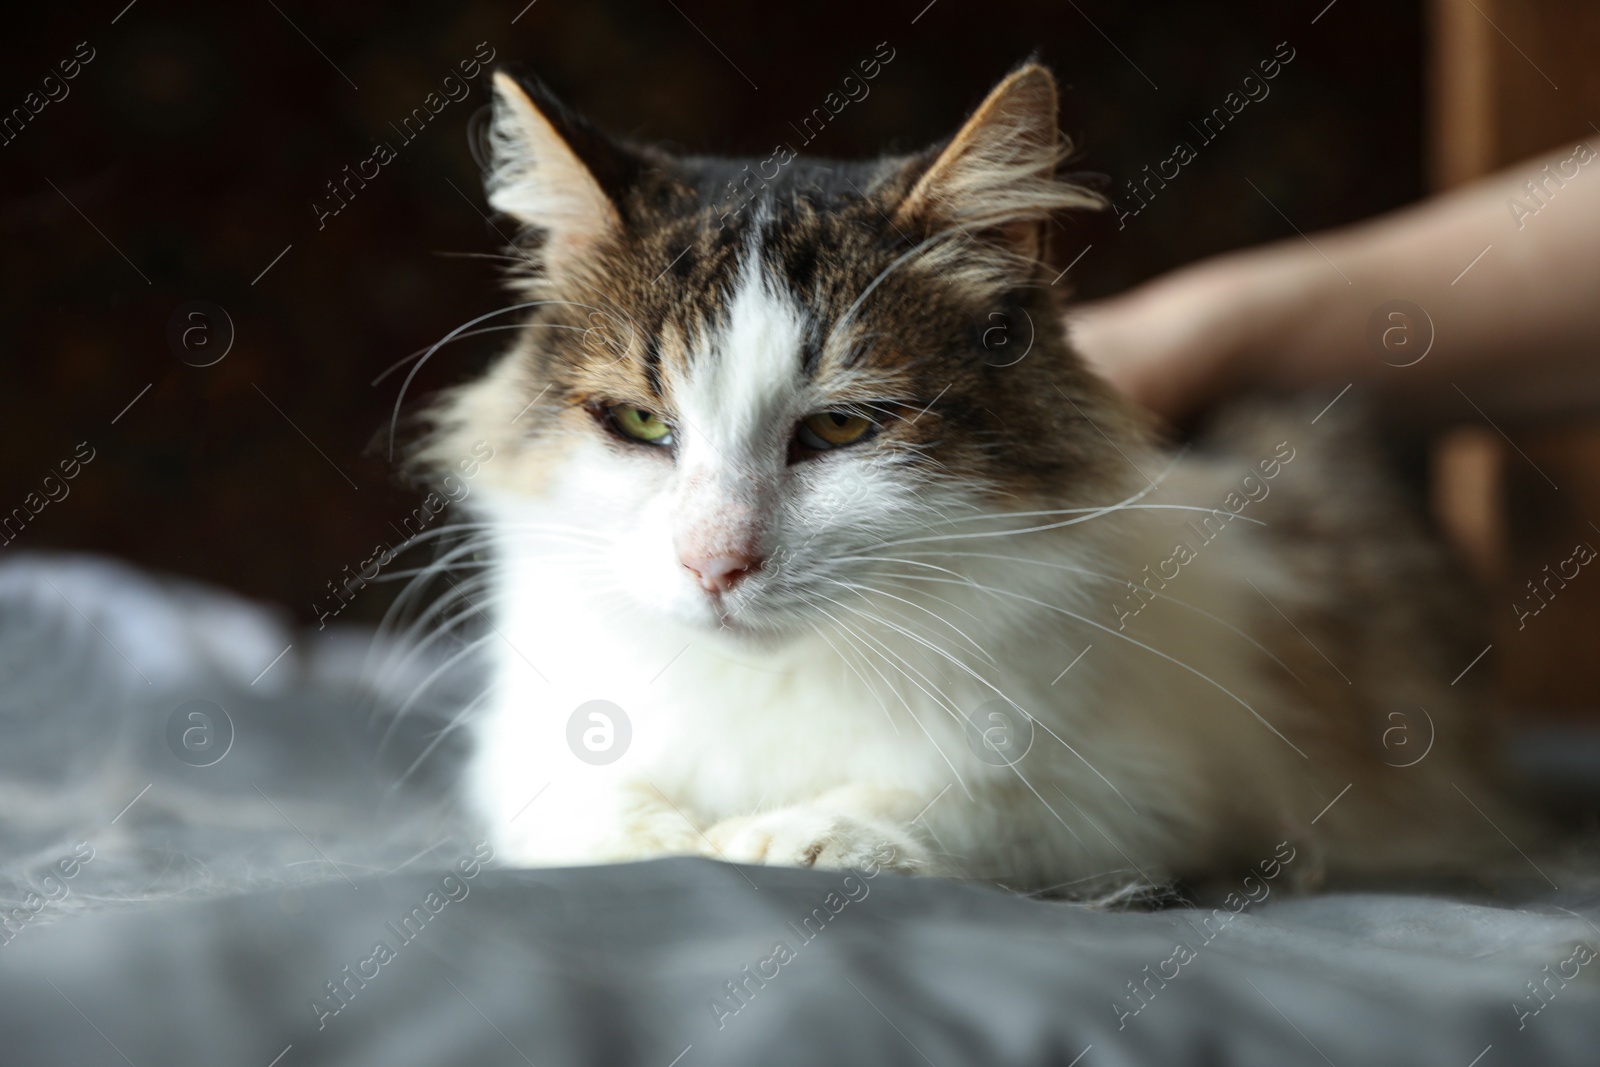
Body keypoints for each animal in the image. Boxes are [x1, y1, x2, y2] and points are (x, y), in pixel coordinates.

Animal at [412, 60, 1523, 895]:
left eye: (839, 427)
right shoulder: (525, 747)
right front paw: (670, 837)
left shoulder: (1148, 797)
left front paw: (786, 837)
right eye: (642, 422)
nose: (713, 563)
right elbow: (582, 806)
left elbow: (961, 806)